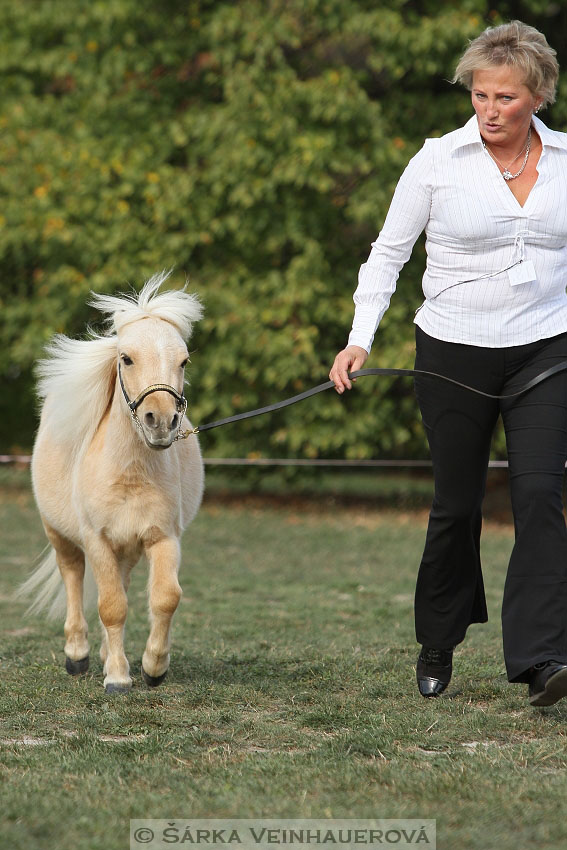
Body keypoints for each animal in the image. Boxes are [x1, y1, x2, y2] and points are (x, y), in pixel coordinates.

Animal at [19, 272, 204, 688]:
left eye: (183, 360)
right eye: (127, 358)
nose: (161, 421)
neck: (130, 473)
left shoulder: (162, 537)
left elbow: (165, 597)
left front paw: (153, 667)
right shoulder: (97, 540)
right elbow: (111, 606)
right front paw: (118, 677)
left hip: (128, 550)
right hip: (61, 536)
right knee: (73, 578)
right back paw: (78, 654)